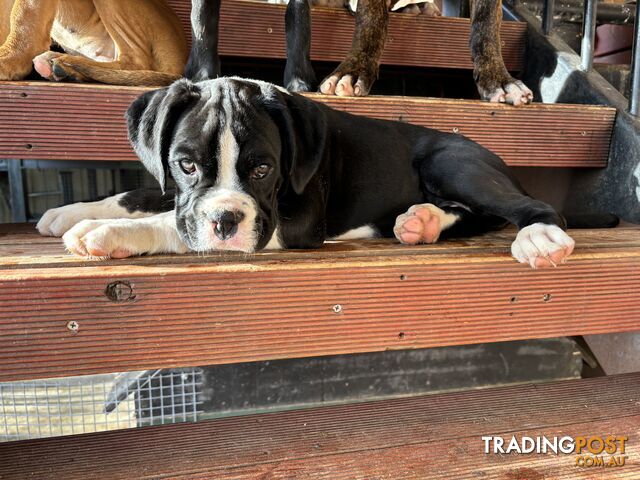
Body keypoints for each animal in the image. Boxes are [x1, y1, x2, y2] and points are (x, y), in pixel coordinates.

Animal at [35, 77, 576, 268]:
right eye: (185, 165)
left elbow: (172, 222)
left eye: (263, 169)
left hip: (450, 162)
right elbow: (147, 195)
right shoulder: (179, 191)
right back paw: (418, 222)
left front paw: (105, 231)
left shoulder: (288, 222)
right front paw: (74, 210)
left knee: (526, 207)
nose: (225, 222)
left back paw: (540, 238)